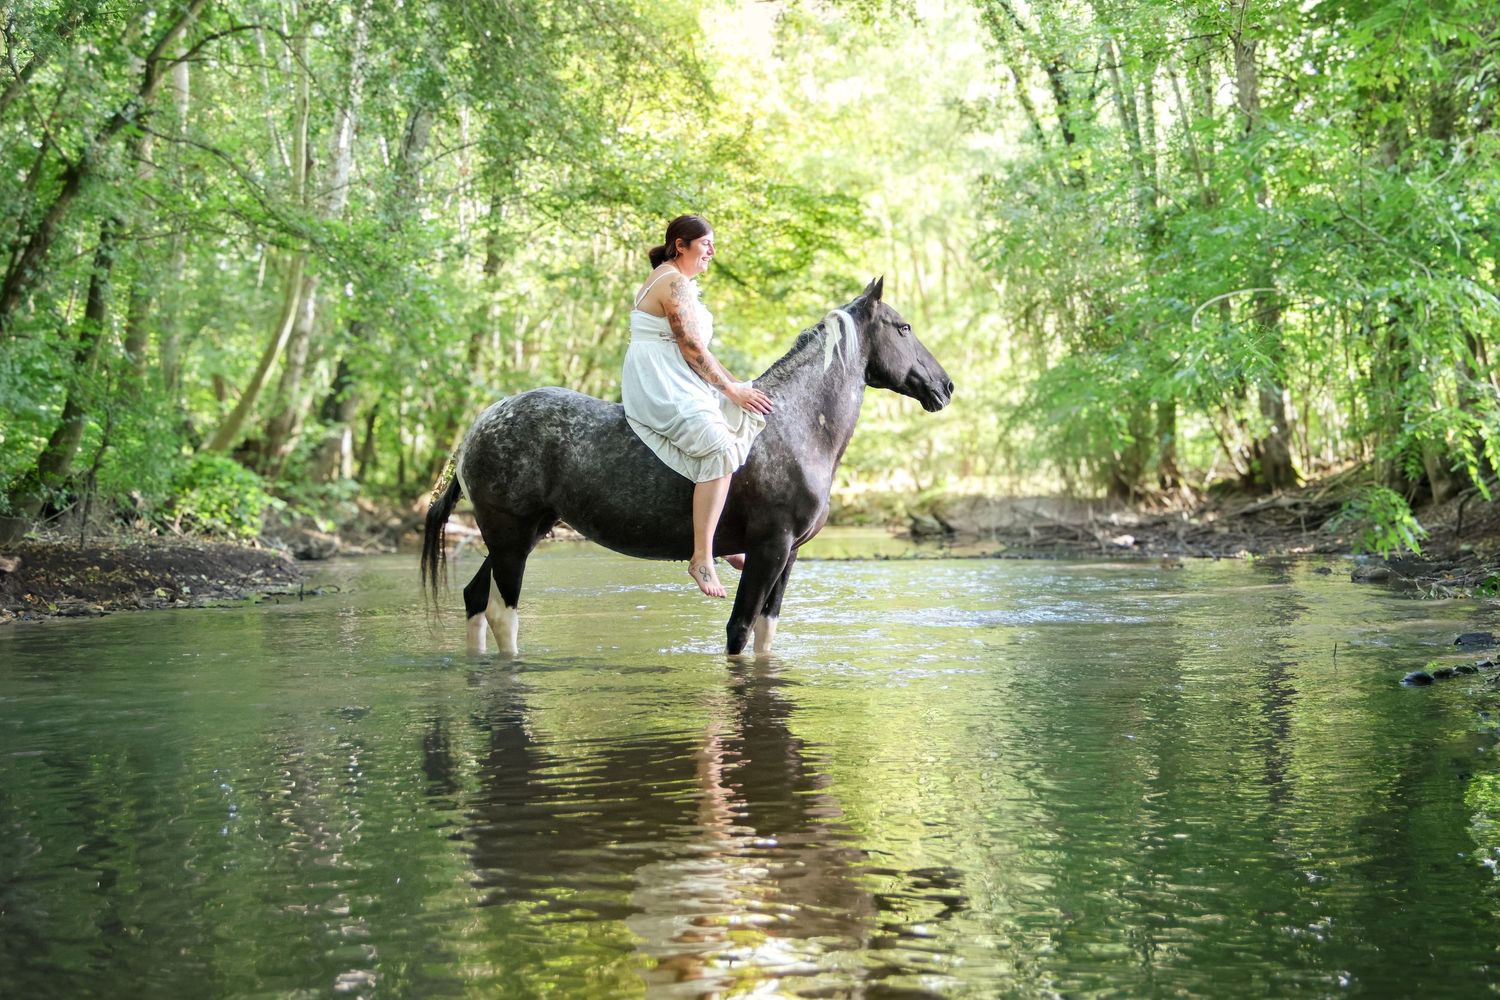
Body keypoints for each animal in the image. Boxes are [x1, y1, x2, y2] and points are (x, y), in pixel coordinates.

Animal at [421, 276, 954, 657]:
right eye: (904, 327)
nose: (945, 386)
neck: (794, 424)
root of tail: (481, 424)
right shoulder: (769, 548)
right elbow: (740, 630)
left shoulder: (789, 556)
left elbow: (766, 634)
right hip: (511, 539)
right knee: (502, 613)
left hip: (518, 535)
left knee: (475, 599)